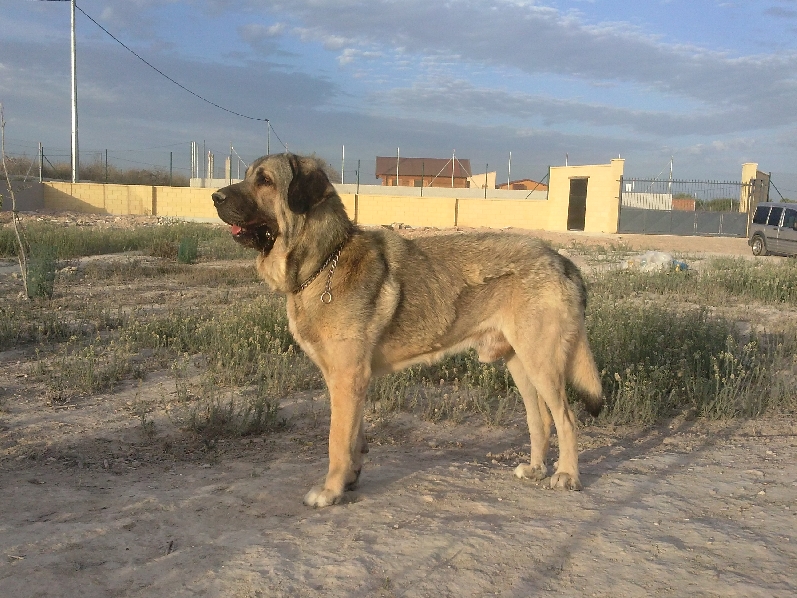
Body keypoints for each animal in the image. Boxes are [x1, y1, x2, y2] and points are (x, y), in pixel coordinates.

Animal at [212, 153, 604, 507]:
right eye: (247, 175)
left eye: (265, 181)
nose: (215, 197)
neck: (324, 261)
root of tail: (561, 259)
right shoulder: (348, 381)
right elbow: (354, 438)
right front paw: (348, 480)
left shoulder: (347, 377)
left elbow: (337, 441)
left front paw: (330, 491)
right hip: (521, 364)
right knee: (541, 421)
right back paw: (536, 470)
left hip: (541, 363)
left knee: (567, 419)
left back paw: (567, 475)